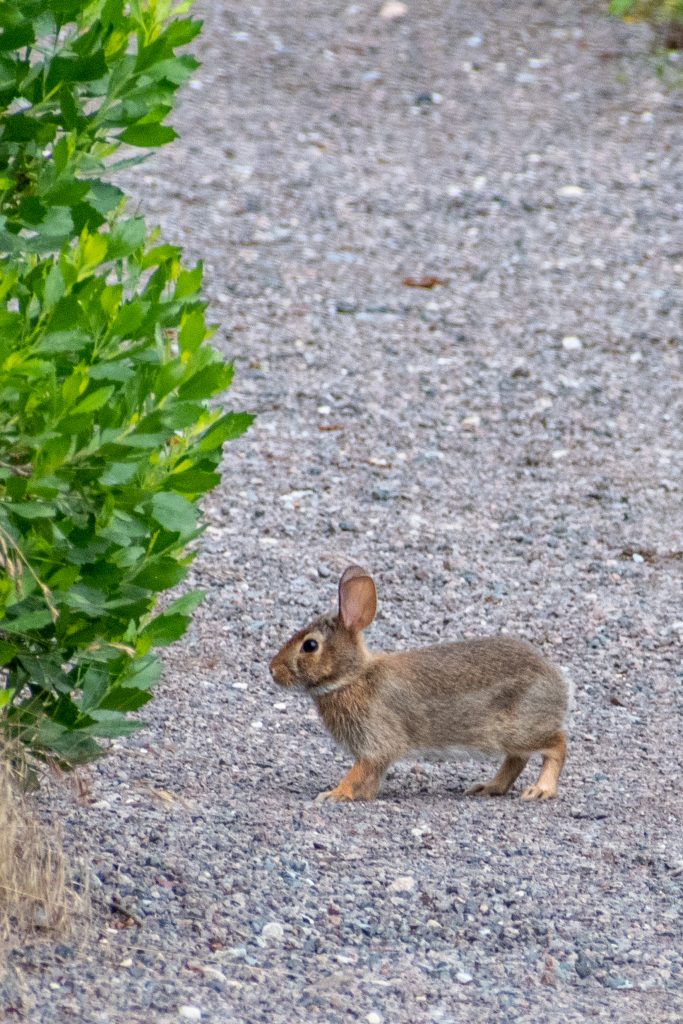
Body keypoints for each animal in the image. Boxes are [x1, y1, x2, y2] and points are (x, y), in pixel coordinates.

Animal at [269, 565, 570, 803]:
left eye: (310, 645)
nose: (272, 670)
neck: (353, 677)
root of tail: (558, 684)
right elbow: (372, 775)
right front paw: (363, 795)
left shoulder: (377, 741)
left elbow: (359, 771)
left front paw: (336, 794)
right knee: (517, 758)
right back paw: (488, 787)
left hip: (517, 729)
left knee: (557, 744)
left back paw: (540, 790)